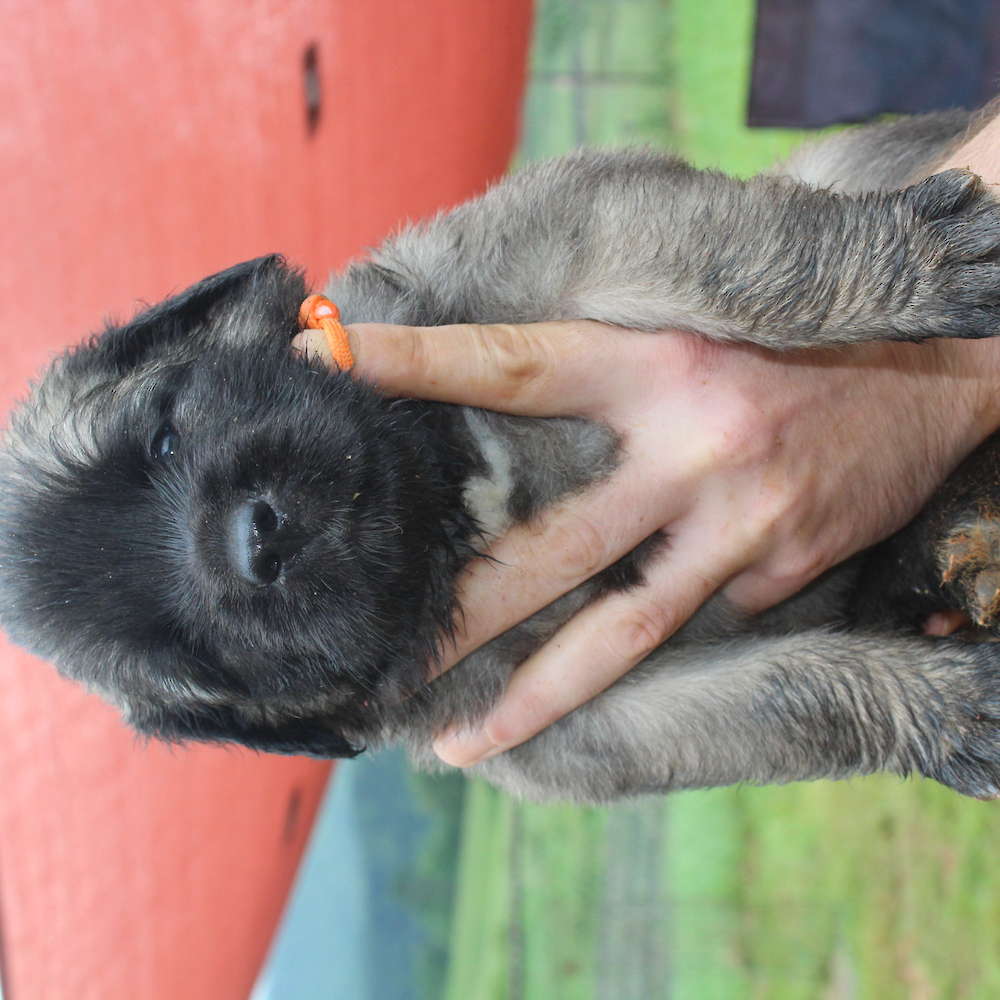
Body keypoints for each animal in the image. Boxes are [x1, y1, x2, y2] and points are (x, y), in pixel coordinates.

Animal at [5, 108, 1000, 802]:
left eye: (164, 431)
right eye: (193, 655)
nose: (258, 541)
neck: (450, 486)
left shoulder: (579, 231)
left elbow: (759, 266)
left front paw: (912, 266)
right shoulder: (592, 719)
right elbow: (799, 696)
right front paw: (946, 714)